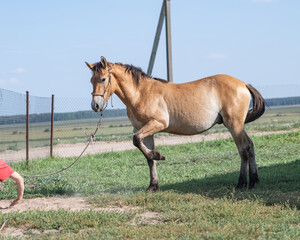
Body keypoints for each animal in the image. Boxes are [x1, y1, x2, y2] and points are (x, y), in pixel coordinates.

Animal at [85, 56, 264, 191]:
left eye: (103, 79)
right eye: (91, 80)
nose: (95, 106)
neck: (141, 93)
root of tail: (243, 84)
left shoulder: (157, 123)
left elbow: (136, 141)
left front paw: (159, 155)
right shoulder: (145, 131)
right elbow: (147, 157)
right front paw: (153, 185)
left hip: (234, 125)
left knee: (243, 149)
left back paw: (241, 183)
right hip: (237, 126)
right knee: (250, 146)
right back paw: (254, 180)